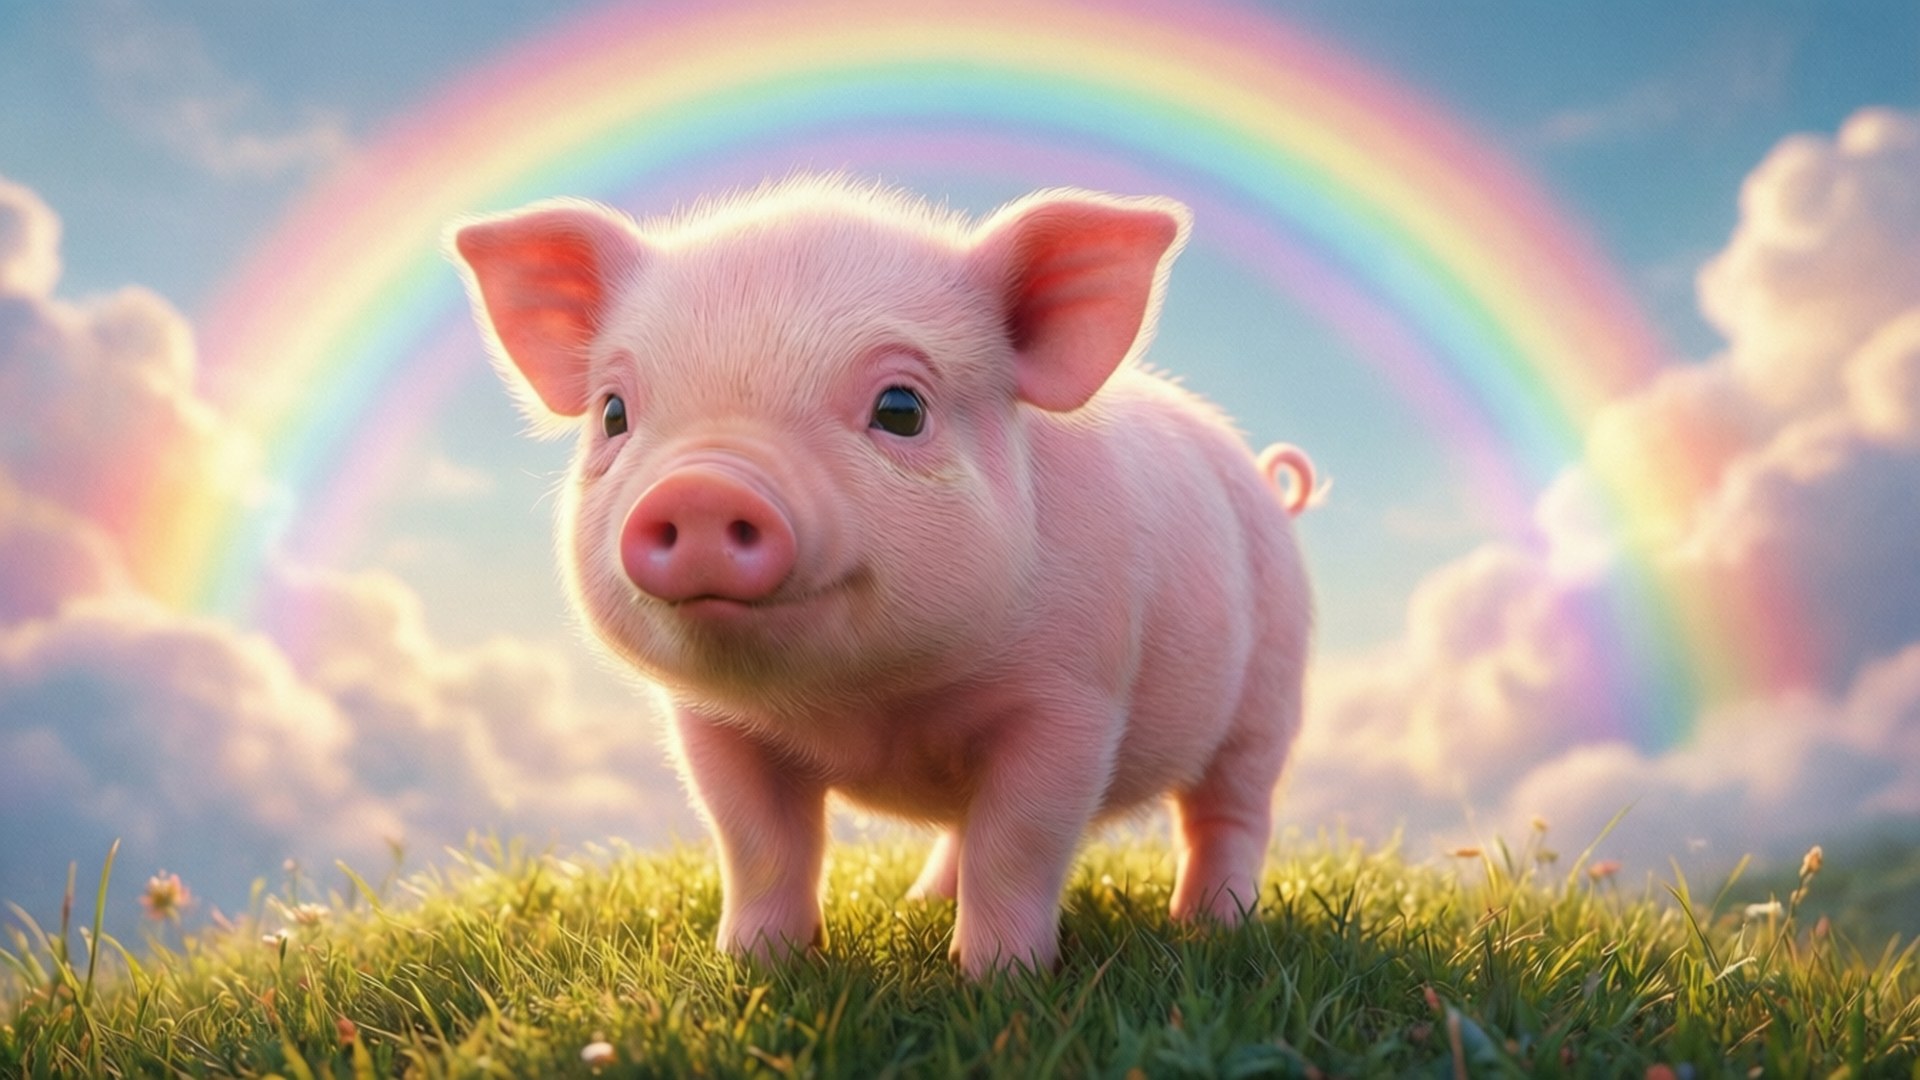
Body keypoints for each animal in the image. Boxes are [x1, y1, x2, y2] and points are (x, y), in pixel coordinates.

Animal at [450, 178, 1315, 978]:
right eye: (614, 413)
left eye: (901, 408)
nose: (700, 488)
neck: (873, 706)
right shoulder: (713, 725)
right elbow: (757, 842)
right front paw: (755, 967)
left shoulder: (1073, 701)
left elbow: (1019, 842)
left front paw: (999, 981)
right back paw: (922, 900)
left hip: (1269, 694)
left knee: (1229, 814)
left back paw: (1211, 927)